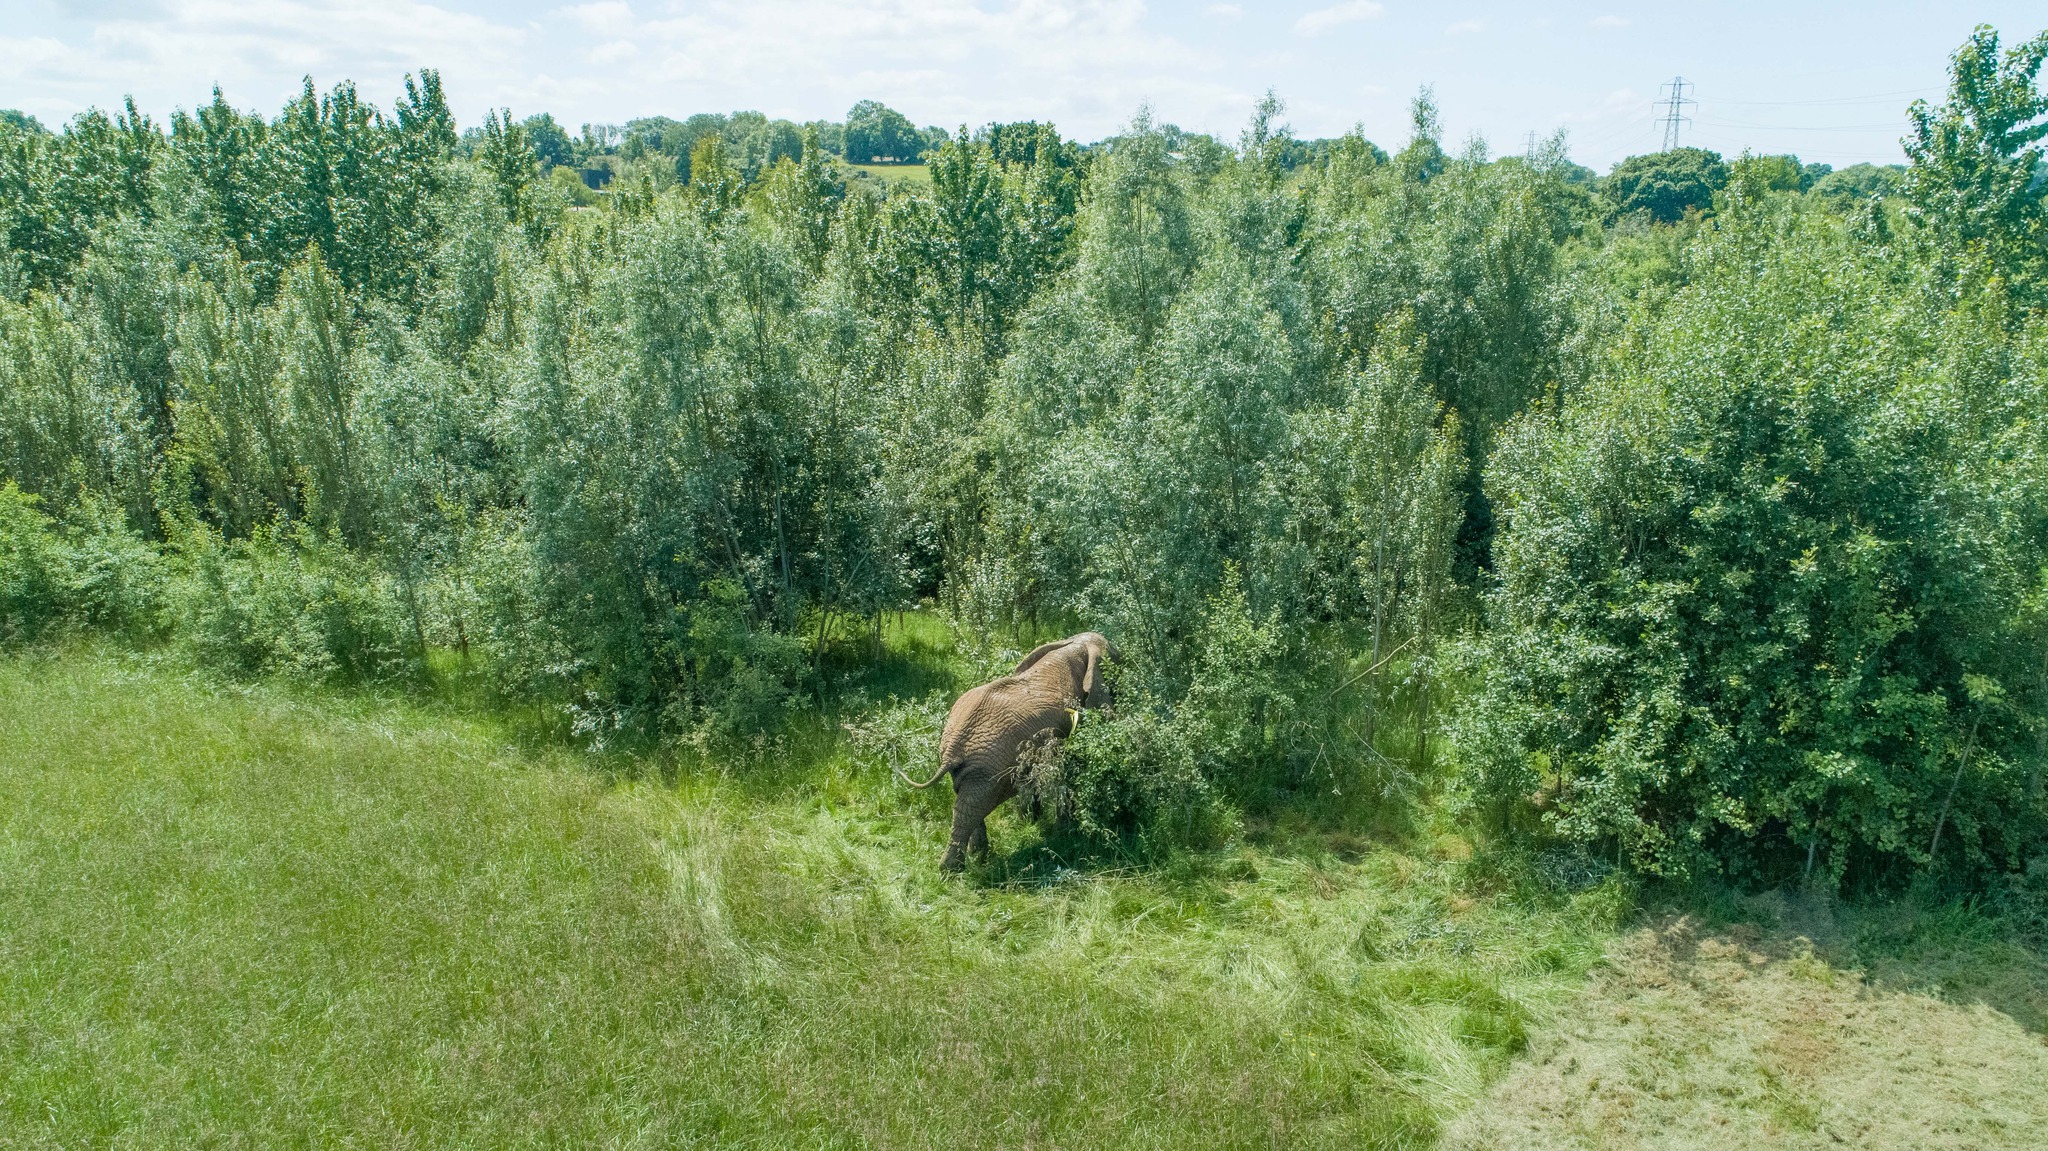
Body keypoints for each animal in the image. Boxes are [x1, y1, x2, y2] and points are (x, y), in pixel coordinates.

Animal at [897, 632, 1119, 871]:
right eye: (1118, 658)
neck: (1076, 644)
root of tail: (952, 750)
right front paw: (1064, 834)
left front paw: (1035, 822)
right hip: (988, 766)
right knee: (971, 808)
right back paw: (953, 871)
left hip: (975, 767)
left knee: (967, 803)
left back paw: (978, 856)